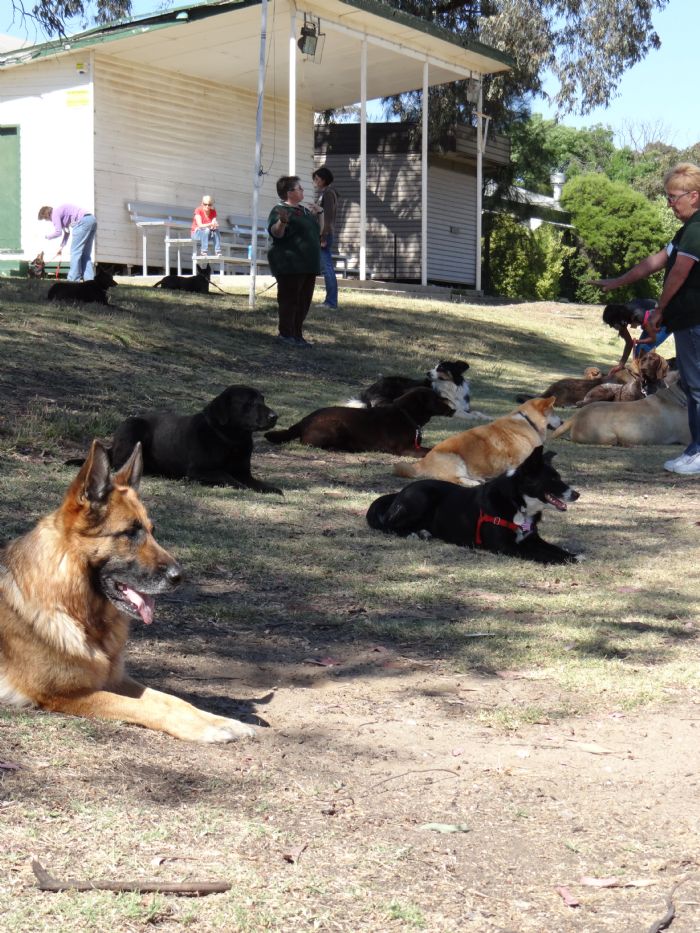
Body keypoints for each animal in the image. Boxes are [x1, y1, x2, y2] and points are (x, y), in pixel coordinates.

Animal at [0, 438, 258, 744]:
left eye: (152, 530)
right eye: (130, 533)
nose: (179, 577)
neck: (76, 611)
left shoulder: (115, 678)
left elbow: (173, 700)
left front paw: (224, 720)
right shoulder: (65, 694)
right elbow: (149, 708)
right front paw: (205, 728)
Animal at [264, 386, 454, 456]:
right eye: (437, 399)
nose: (453, 409)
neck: (406, 413)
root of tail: (305, 420)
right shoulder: (405, 449)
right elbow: (430, 451)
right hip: (335, 427)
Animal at [366, 448, 580, 564]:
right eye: (553, 479)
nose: (577, 494)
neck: (517, 502)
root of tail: (400, 492)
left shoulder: (532, 538)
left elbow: (553, 548)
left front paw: (572, 555)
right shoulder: (505, 546)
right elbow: (539, 554)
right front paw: (563, 560)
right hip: (420, 498)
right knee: (387, 525)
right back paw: (414, 533)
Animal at [394, 396, 564, 488]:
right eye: (554, 413)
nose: (562, 422)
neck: (528, 421)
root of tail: (422, 462)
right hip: (456, 460)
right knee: (454, 478)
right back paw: (473, 482)